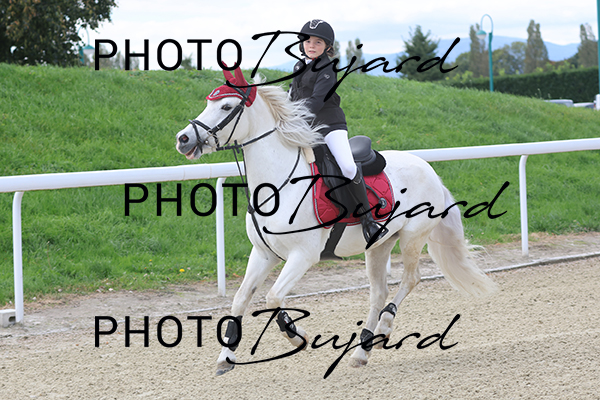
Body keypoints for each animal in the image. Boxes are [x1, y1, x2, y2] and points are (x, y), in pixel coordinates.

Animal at [175, 67, 497, 376]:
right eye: (208, 103)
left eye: (226, 106)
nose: (183, 139)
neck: (279, 185)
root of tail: (428, 169)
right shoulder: (264, 254)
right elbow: (241, 299)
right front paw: (225, 358)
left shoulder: (303, 256)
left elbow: (273, 297)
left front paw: (297, 336)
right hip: (379, 245)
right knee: (379, 292)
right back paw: (362, 351)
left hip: (412, 238)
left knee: (410, 279)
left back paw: (383, 329)